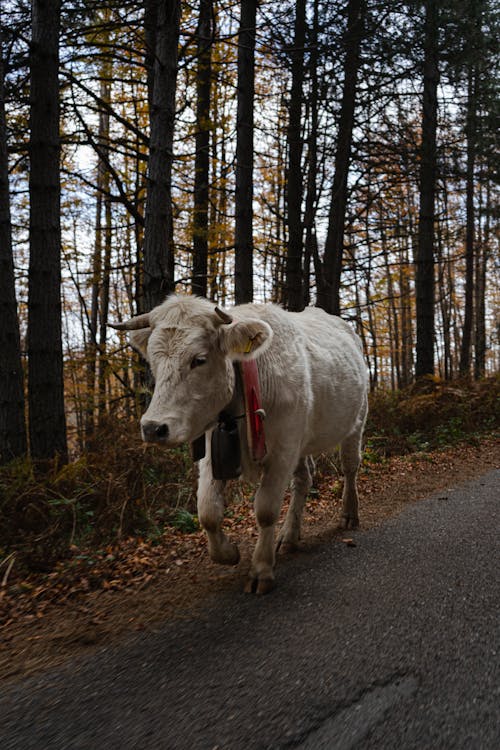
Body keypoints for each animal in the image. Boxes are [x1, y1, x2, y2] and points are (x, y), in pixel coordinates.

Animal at [115, 296, 370, 596]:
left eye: (199, 360)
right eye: (153, 362)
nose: (153, 427)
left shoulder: (282, 450)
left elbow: (266, 510)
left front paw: (261, 569)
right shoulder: (213, 452)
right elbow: (207, 510)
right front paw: (228, 553)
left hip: (356, 420)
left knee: (350, 467)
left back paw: (348, 513)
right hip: (301, 441)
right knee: (303, 480)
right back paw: (289, 535)